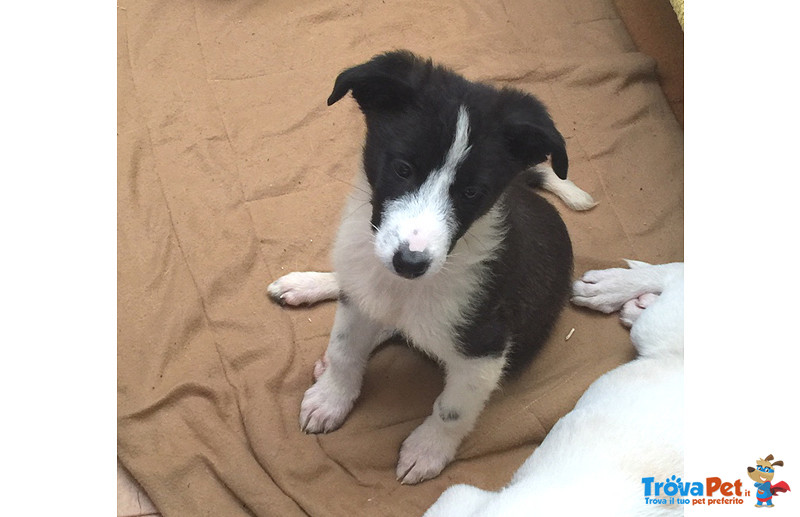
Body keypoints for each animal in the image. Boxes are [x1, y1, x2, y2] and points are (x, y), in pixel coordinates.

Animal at [268, 51, 592, 484]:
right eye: (403, 169)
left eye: (471, 192)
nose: (409, 263)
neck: (408, 287)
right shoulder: (365, 288)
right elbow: (344, 350)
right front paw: (332, 397)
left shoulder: (485, 348)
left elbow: (452, 409)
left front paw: (427, 451)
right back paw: (308, 286)